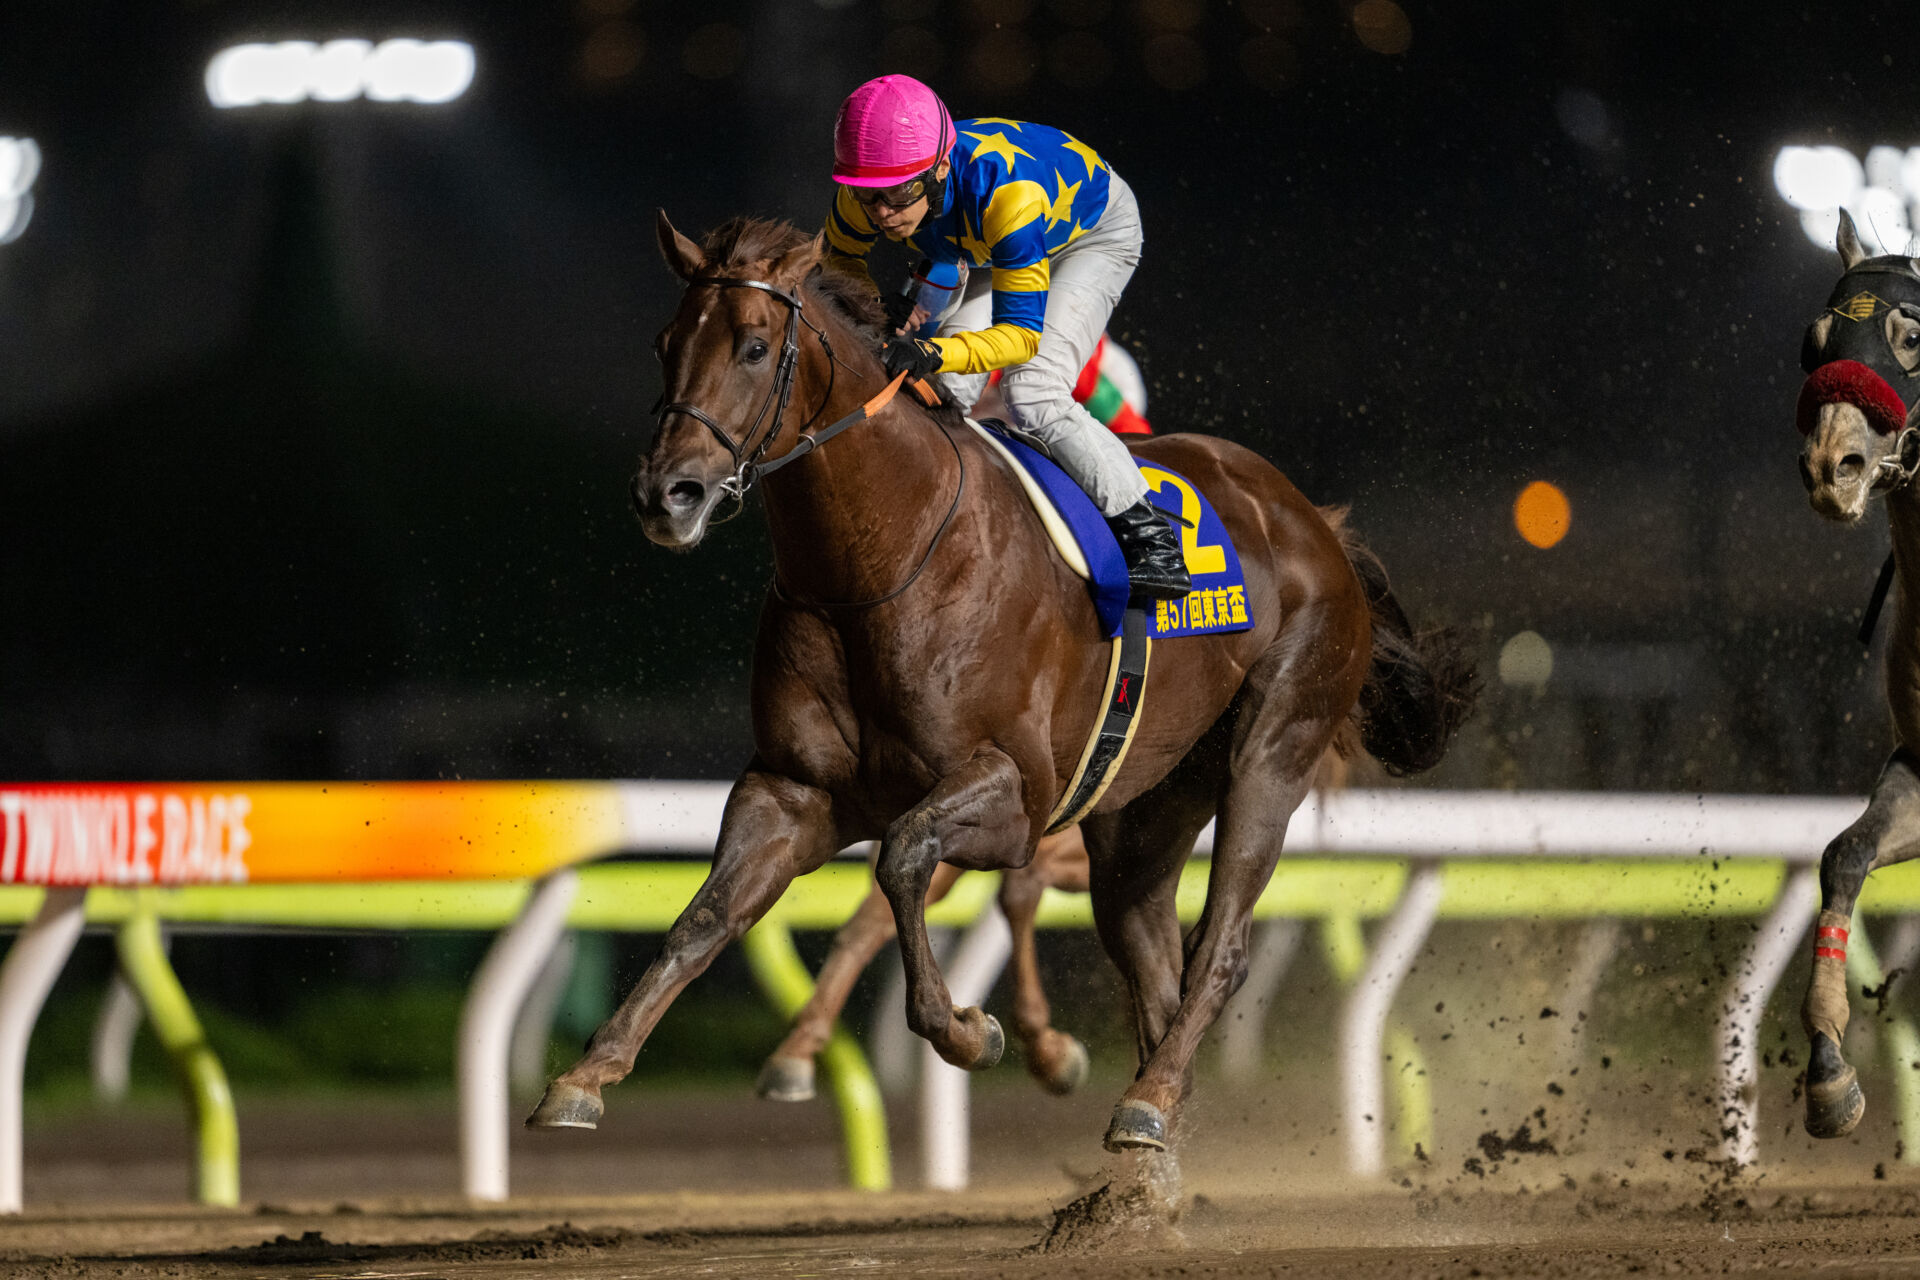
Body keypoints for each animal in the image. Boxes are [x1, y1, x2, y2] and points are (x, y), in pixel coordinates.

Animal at [527, 211, 1475, 1168]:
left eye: (755, 346)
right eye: (664, 344)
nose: (667, 495)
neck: (880, 558)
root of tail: (1316, 522)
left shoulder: (1017, 794)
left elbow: (907, 858)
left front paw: (970, 1031)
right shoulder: (794, 790)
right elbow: (710, 914)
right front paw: (587, 1075)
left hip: (1274, 743)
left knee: (1223, 942)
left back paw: (1147, 1103)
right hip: (1145, 805)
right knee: (1150, 949)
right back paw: (1150, 1138)